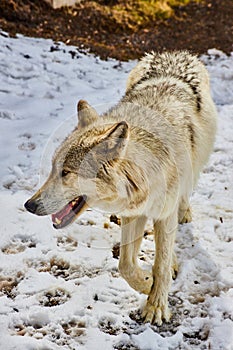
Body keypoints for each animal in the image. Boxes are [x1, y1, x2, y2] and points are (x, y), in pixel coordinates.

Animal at [24, 51, 217, 326]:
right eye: (53, 168)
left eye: (66, 173)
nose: (29, 205)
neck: (144, 175)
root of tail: (173, 53)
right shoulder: (134, 213)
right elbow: (125, 265)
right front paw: (146, 283)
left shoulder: (163, 213)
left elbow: (161, 263)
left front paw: (156, 306)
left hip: (196, 164)